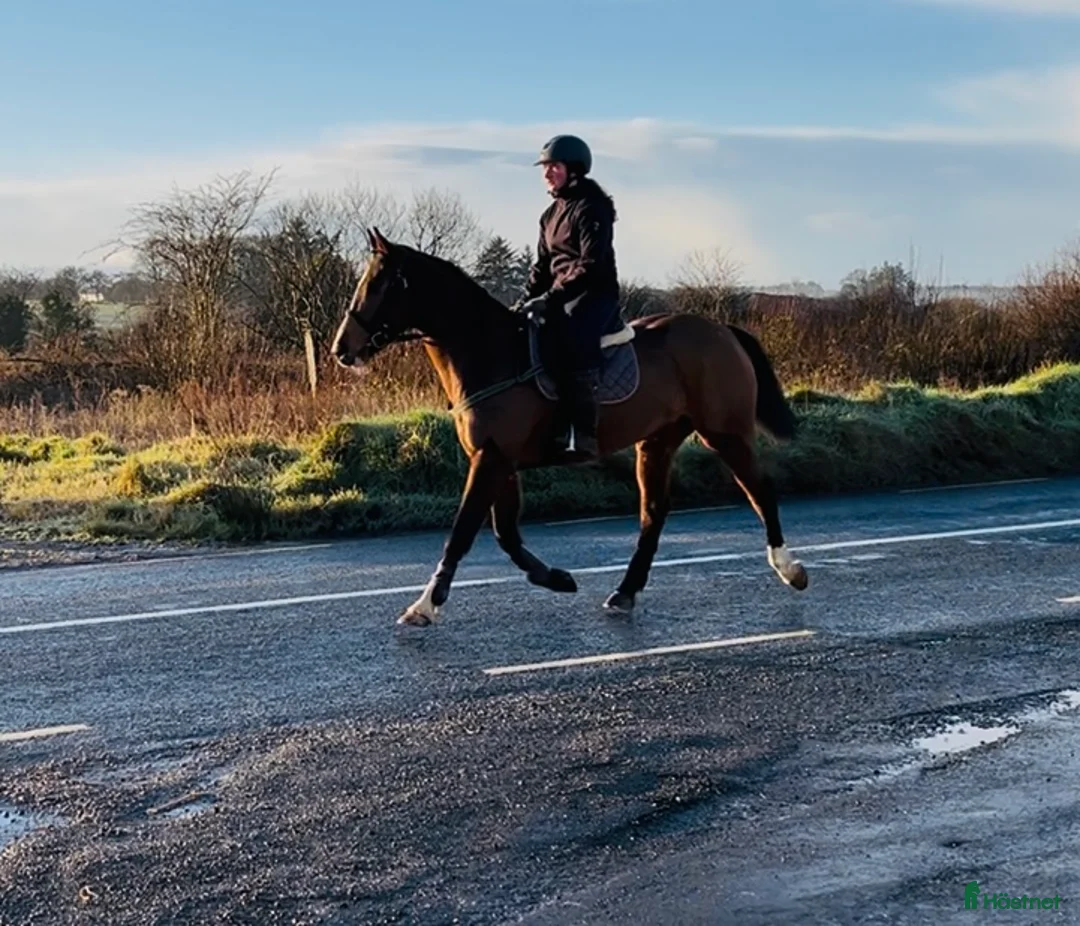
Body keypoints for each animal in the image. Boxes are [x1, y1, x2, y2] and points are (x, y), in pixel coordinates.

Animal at [331, 227, 808, 626]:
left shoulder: (491, 458)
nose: (341, 349)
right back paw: (624, 592)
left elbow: (463, 531)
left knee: (760, 490)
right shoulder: (499, 460)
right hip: (657, 441)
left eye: (380, 283)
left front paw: (425, 605)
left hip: (724, 432)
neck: (489, 350)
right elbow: (505, 533)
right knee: (654, 513)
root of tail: (722, 331)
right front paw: (557, 578)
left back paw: (790, 569)